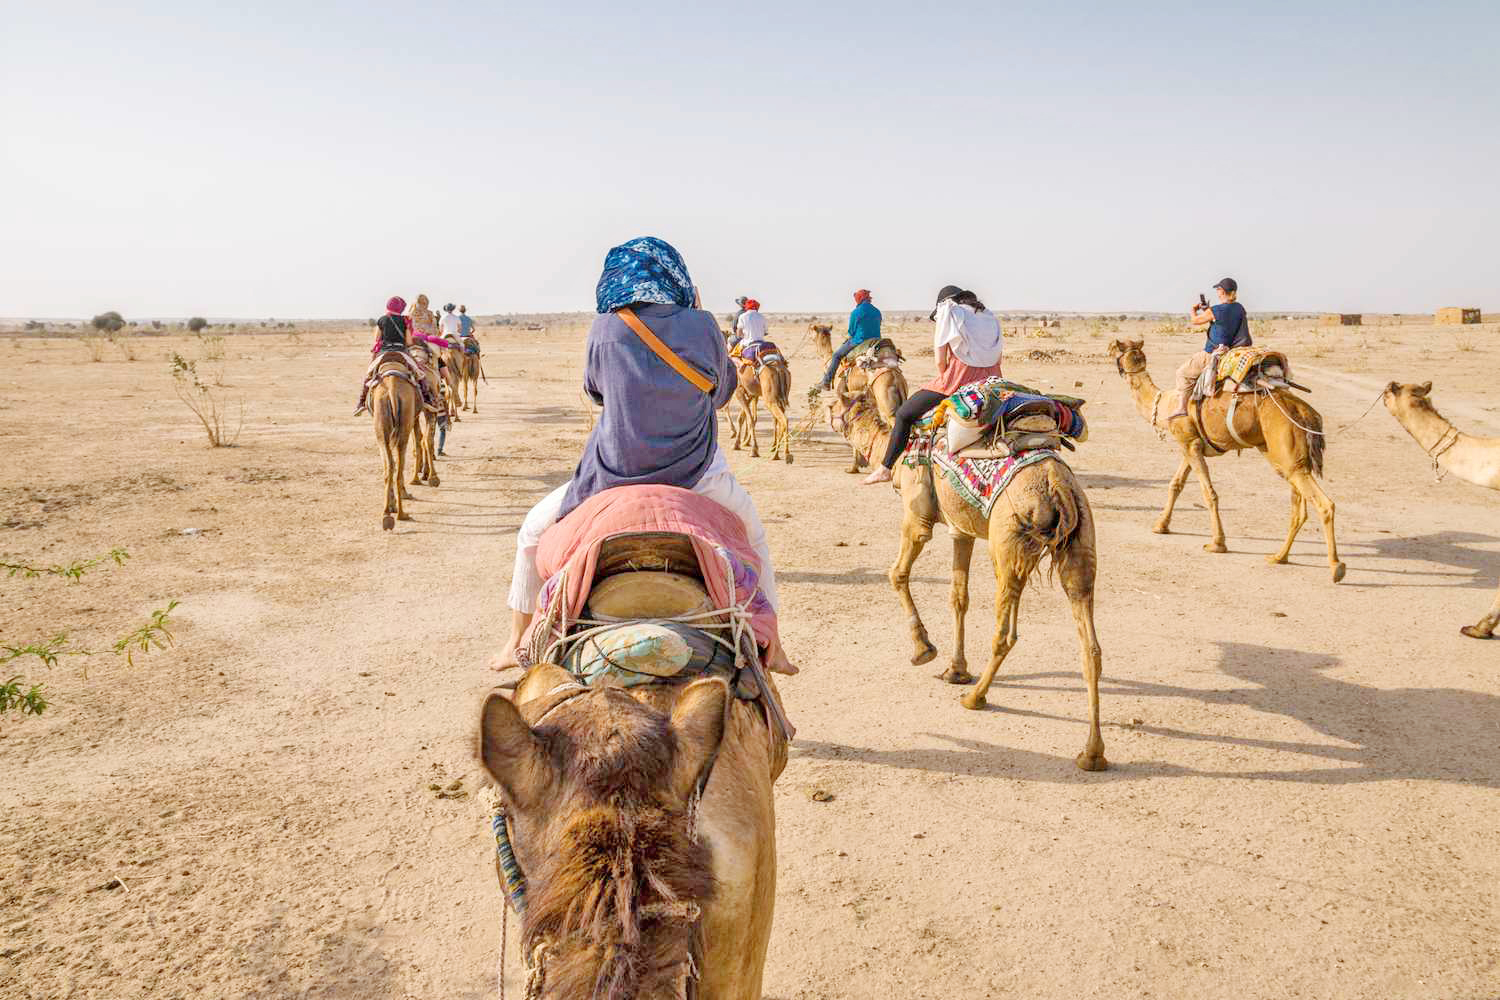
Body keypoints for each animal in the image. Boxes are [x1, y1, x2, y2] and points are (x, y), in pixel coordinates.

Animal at [369, 359, 423, 530]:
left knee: (390, 467)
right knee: (397, 465)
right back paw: (400, 513)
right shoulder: (413, 419)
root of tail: (392, 389)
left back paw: (388, 514)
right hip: (403, 424)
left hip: (382, 427)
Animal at [828, 395, 1110, 773]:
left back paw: (975, 697)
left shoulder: (917, 517)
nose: (823, 406)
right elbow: (958, 597)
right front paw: (955, 669)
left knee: (1005, 633)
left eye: (833, 403)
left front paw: (924, 650)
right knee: (1089, 646)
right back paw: (1092, 754)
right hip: (1078, 543)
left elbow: (896, 574)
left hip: (1006, 544)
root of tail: (1057, 486)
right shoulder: (960, 529)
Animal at [1104, 340, 1350, 581]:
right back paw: (1279, 557)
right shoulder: (1192, 444)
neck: (1166, 404)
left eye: (1115, 349)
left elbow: (1209, 493)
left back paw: (1336, 567)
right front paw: (1160, 526)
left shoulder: (1189, 443)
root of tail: (1306, 412)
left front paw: (1217, 543)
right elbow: (1176, 484)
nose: (1107, 351)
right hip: (1289, 459)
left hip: (1287, 456)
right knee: (1299, 508)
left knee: (1324, 505)